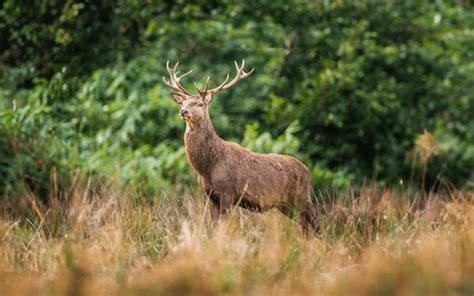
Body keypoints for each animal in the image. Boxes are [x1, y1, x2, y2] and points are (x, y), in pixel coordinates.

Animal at [162, 59, 318, 231]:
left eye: (200, 104)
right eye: (183, 102)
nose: (183, 111)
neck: (207, 167)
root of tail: (307, 171)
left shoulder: (228, 193)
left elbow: (224, 227)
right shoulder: (211, 196)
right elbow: (215, 227)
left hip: (302, 196)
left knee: (316, 223)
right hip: (285, 205)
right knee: (305, 225)